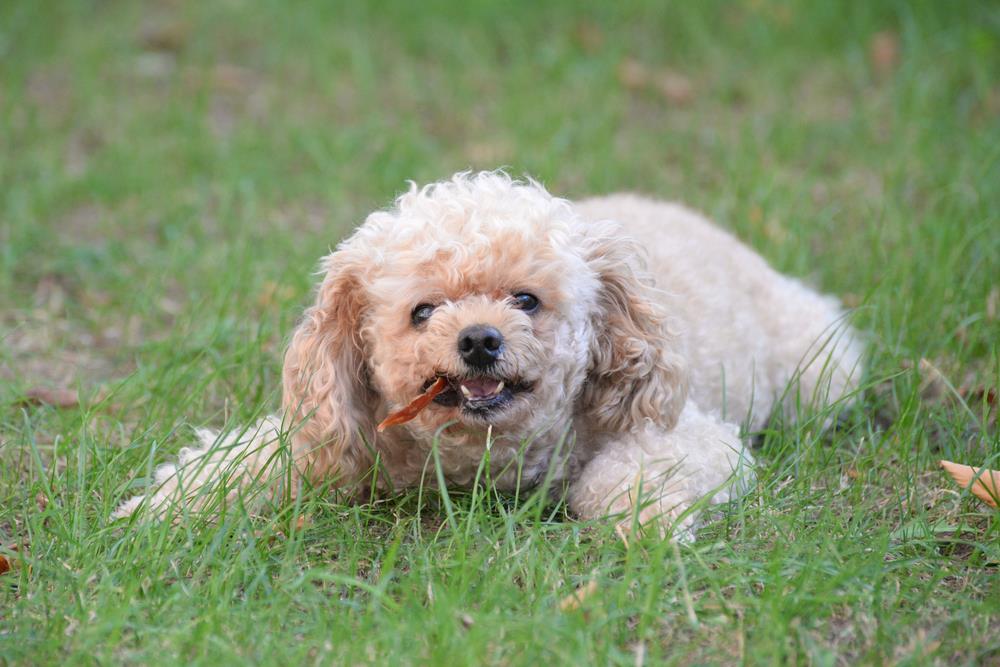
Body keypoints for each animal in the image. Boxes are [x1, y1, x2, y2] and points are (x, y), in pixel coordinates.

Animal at [117, 172, 864, 536]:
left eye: (526, 300)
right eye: (423, 311)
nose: (479, 337)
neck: (476, 460)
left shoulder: (689, 434)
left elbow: (620, 480)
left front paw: (650, 523)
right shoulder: (333, 430)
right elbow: (239, 462)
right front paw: (161, 510)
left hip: (824, 371)